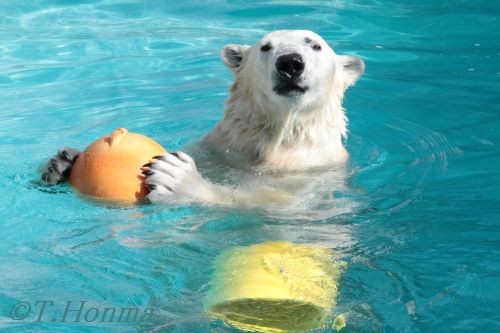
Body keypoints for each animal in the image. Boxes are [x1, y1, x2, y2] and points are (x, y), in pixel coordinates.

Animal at [42, 29, 364, 209]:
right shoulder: (222, 147)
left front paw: (180, 180)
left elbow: (276, 202)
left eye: (315, 45)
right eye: (266, 47)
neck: (276, 139)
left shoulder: (313, 171)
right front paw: (63, 162)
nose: (290, 63)